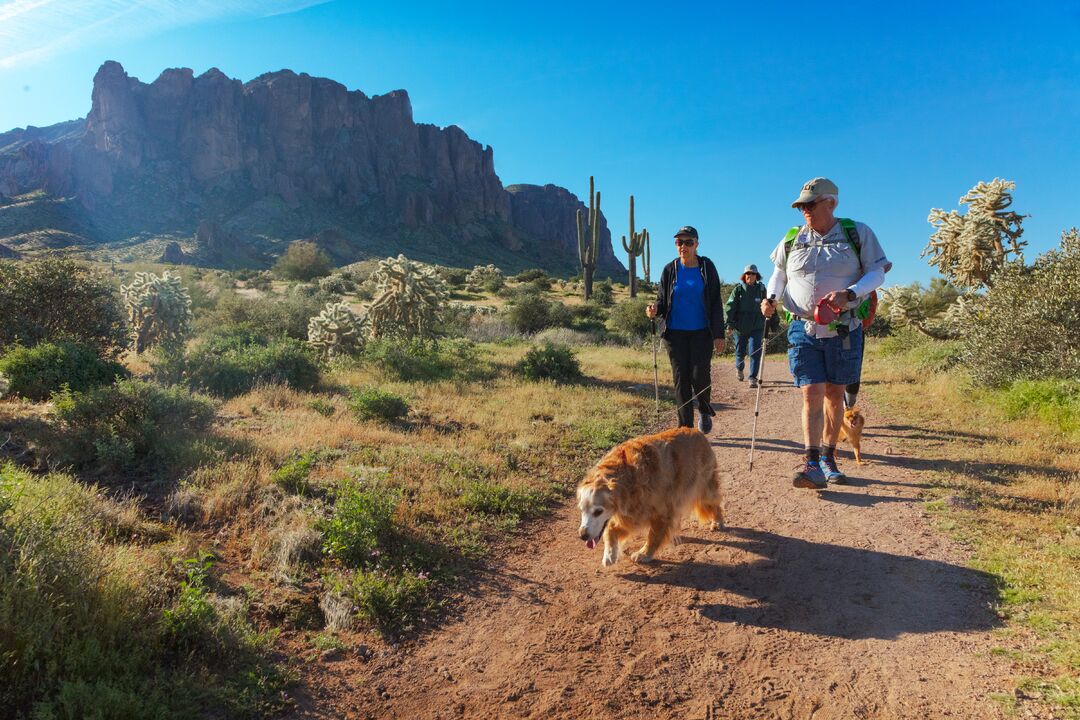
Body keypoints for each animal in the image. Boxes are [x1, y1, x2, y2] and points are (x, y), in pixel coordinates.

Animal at [578, 427, 721, 569]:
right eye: (582, 510)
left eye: (598, 511)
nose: (582, 536)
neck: (629, 477)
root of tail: (696, 431)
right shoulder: (632, 514)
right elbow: (610, 529)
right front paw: (609, 555)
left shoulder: (661, 511)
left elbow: (653, 536)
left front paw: (644, 553)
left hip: (705, 487)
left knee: (716, 504)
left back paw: (717, 522)